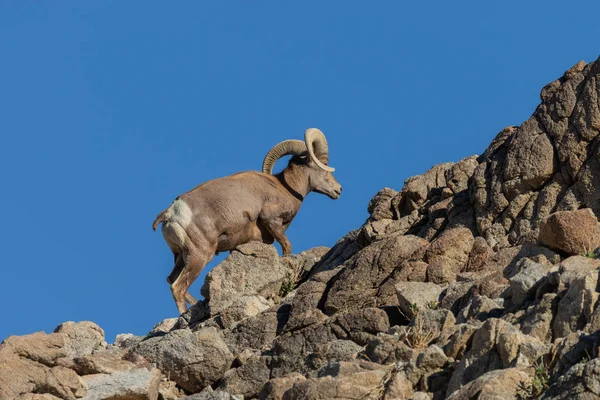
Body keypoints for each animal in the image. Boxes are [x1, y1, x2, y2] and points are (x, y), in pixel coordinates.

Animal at [154, 128, 342, 312]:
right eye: (324, 167)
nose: (338, 190)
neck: (283, 187)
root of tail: (170, 214)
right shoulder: (271, 221)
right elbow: (287, 247)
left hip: (181, 256)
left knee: (171, 280)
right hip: (199, 255)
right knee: (177, 287)